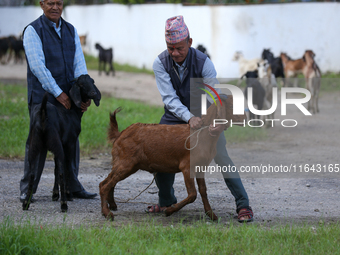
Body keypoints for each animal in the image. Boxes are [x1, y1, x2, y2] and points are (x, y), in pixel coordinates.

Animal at [99, 95, 246, 221]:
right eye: (232, 106)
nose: (245, 118)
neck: (203, 134)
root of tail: (120, 134)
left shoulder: (200, 167)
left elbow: (203, 191)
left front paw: (211, 215)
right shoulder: (187, 166)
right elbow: (192, 194)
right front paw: (169, 211)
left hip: (125, 164)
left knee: (108, 182)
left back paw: (112, 205)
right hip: (126, 162)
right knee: (105, 184)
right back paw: (107, 213)